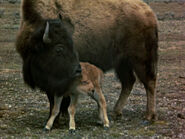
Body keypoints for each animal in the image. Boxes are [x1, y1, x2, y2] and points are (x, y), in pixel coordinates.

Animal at [15, 0, 158, 130]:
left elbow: (57, 100)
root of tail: (149, 12)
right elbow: (54, 100)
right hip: (122, 64)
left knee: (149, 82)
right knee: (128, 82)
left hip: (140, 60)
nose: (77, 70)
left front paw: (57, 120)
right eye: (59, 48)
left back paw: (149, 116)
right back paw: (116, 112)